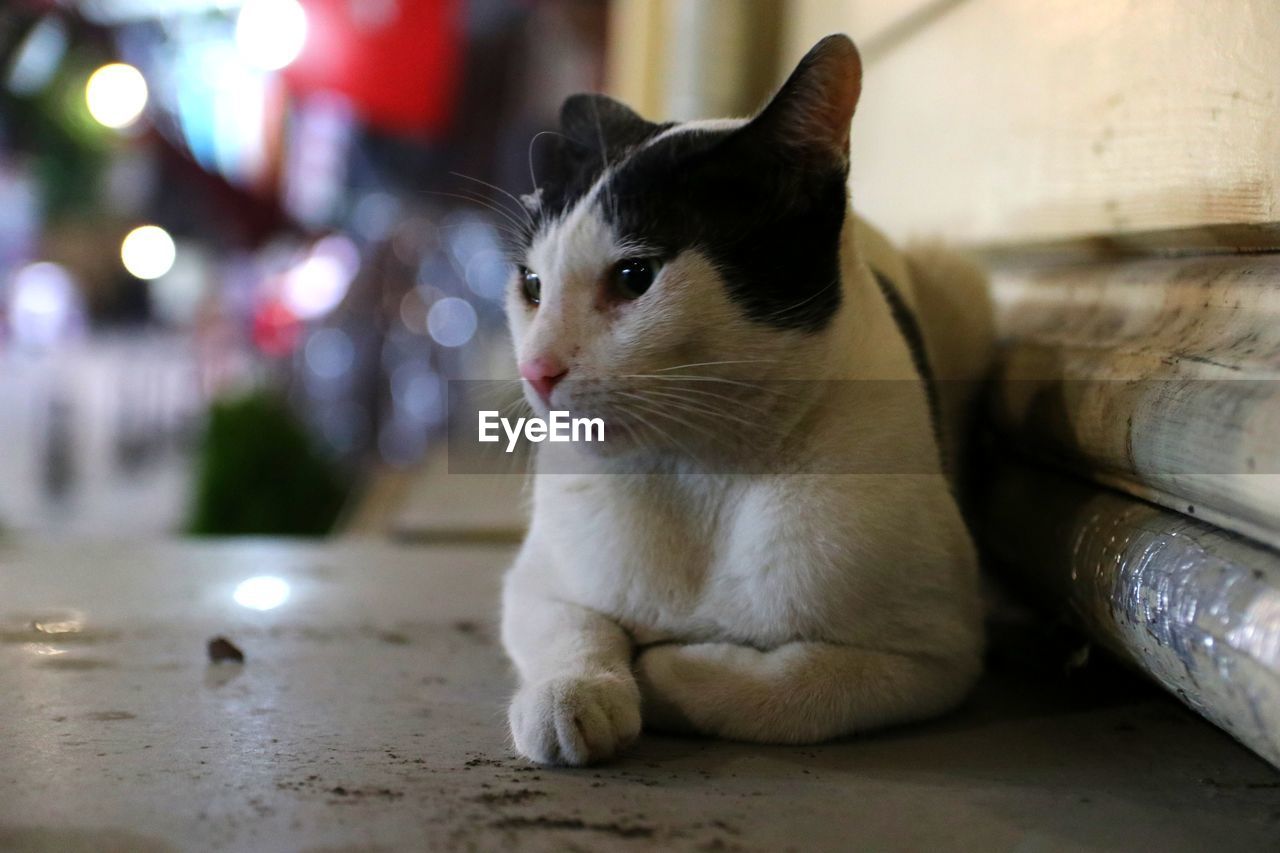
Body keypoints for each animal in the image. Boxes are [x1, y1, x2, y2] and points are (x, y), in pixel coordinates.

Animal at [496, 34, 988, 763]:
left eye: (635, 276)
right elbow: (573, 628)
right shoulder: (534, 582)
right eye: (531, 285)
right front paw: (576, 695)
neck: (696, 475)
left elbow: (796, 683)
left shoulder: (935, 656)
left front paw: (666, 669)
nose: (536, 368)